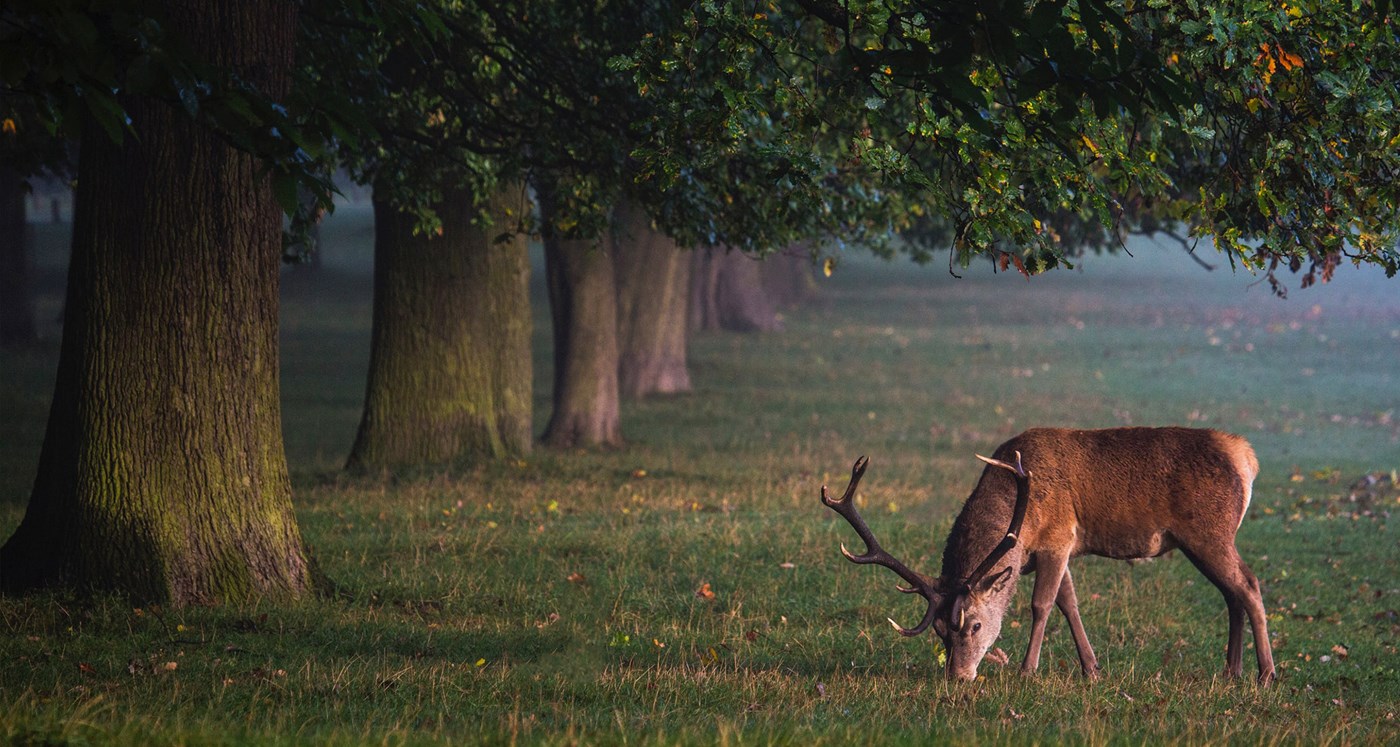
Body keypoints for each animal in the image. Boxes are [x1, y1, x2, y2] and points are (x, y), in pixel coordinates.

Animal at [823, 430, 1276, 688]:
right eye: (938, 631)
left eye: (974, 625)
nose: (958, 676)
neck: (1023, 523)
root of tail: (1247, 457)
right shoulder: (1055, 551)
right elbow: (1069, 603)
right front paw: (1092, 669)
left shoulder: (1059, 537)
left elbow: (1041, 605)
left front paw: (1027, 670)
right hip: (1199, 541)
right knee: (1231, 593)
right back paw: (1232, 670)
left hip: (1210, 531)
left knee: (1249, 584)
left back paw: (1266, 673)